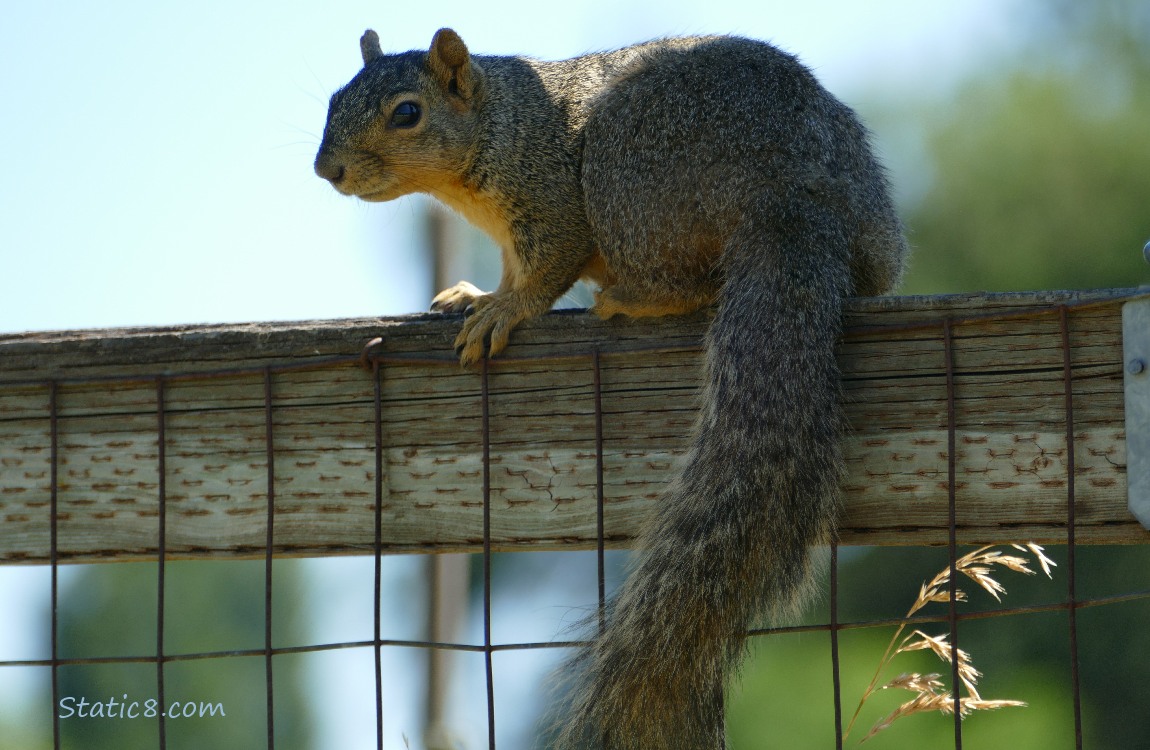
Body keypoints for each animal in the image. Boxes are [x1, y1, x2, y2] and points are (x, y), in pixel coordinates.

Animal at [315, 28, 908, 749]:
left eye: (407, 113)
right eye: (334, 99)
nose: (327, 169)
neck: (500, 122)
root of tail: (798, 200)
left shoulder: (549, 199)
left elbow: (546, 270)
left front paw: (503, 310)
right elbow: (511, 270)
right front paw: (476, 294)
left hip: (626, 173)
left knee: (691, 280)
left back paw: (632, 299)